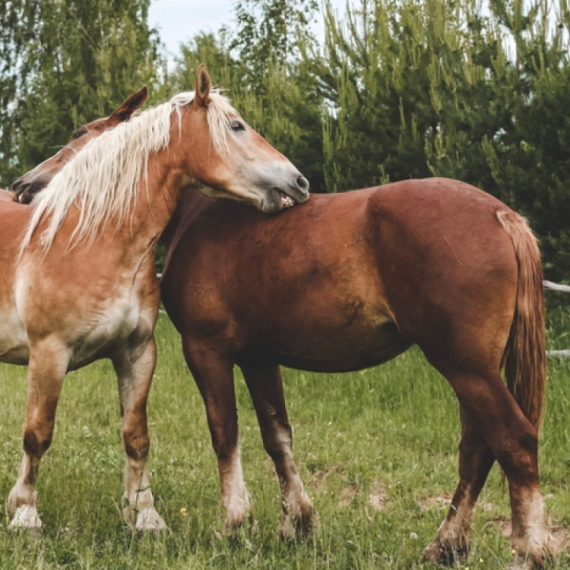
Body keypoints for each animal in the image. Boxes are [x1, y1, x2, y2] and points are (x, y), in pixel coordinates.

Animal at [0, 66, 308, 532]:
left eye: (78, 134)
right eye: (237, 126)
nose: (299, 181)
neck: (90, 242)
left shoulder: (137, 352)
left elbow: (137, 437)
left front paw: (145, 517)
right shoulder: (48, 354)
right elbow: (37, 434)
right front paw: (25, 516)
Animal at [158, 184, 548, 564]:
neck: (202, 214)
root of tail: (501, 216)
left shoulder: (206, 351)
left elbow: (225, 435)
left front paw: (234, 526)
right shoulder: (259, 359)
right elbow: (276, 437)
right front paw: (296, 524)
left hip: (467, 370)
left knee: (513, 441)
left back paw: (529, 552)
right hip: (474, 373)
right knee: (477, 450)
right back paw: (446, 546)